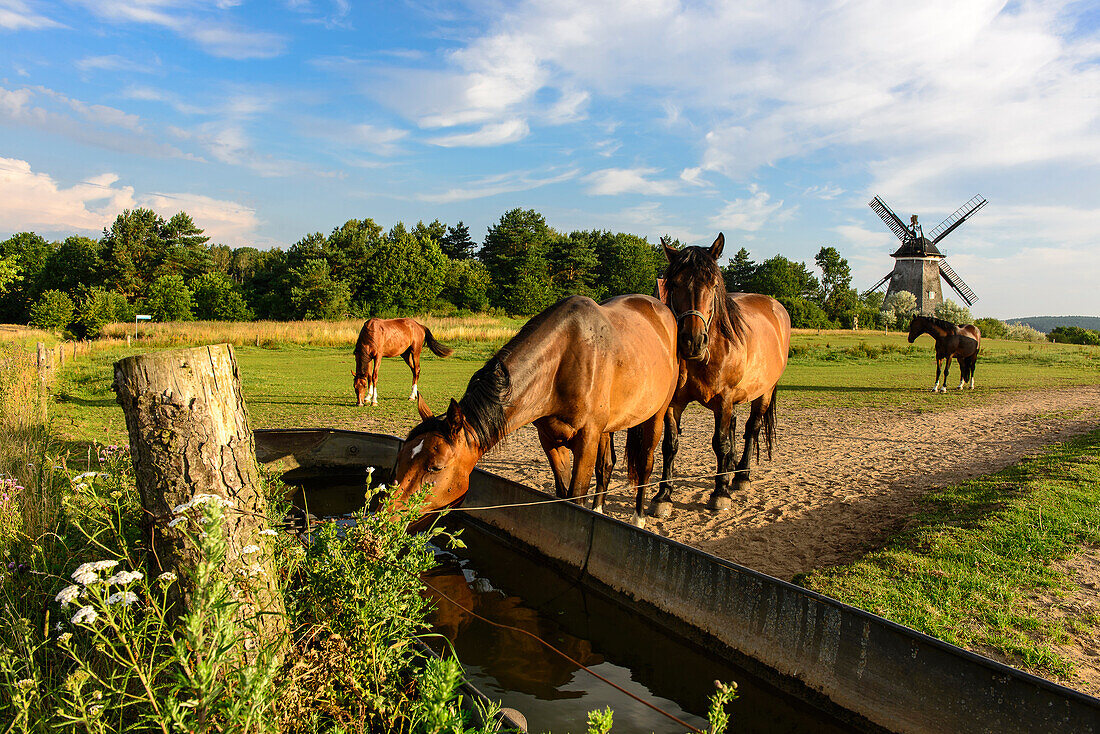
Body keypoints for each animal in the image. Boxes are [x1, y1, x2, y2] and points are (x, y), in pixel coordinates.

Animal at [387, 294, 677, 528]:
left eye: (435, 467)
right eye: (400, 457)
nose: (387, 517)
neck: (564, 358)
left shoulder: (586, 439)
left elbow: (576, 496)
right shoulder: (550, 439)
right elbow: (563, 491)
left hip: (656, 416)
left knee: (646, 464)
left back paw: (639, 517)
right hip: (607, 430)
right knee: (605, 467)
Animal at [642, 232, 792, 526]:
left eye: (712, 285)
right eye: (674, 284)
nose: (692, 342)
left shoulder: (723, 400)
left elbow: (720, 443)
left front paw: (720, 493)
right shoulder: (675, 404)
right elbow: (670, 445)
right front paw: (663, 496)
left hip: (764, 393)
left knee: (751, 428)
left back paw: (741, 475)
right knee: (734, 427)